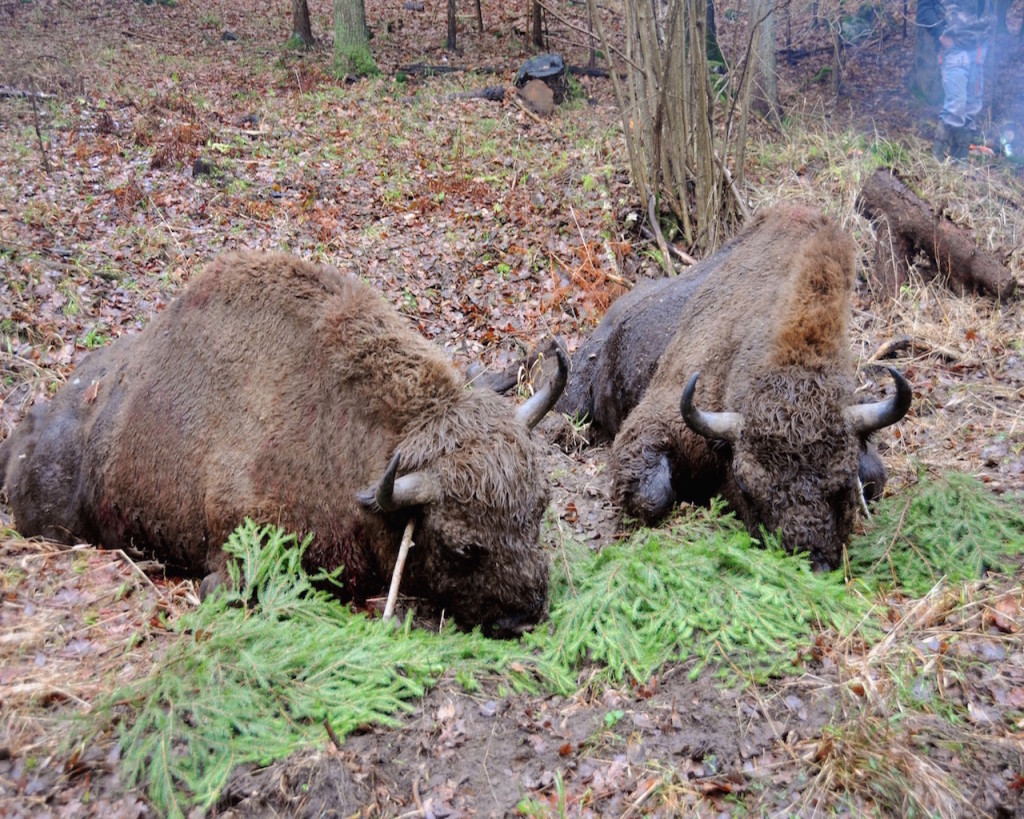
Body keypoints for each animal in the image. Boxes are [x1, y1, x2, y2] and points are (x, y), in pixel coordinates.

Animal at [561, 206, 913, 569]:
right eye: (746, 486)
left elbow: (876, 478)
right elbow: (653, 495)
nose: (808, 561)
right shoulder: (661, 418)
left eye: (844, 484)